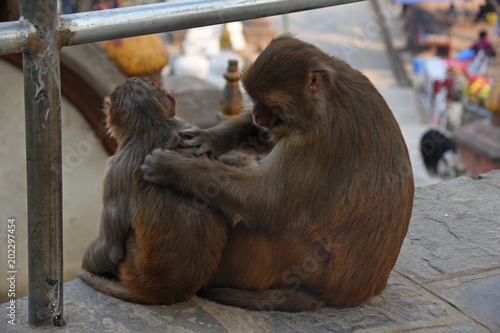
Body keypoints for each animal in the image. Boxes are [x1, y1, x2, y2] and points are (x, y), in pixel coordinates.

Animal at [77, 77, 233, 304]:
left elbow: (110, 249)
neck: (152, 126)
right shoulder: (194, 134)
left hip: (131, 267)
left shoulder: (116, 171)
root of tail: (163, 294)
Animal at [142, 35, 414, 312]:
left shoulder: (315, 140)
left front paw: (173, 169)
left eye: (271, 105)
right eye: (254, 100)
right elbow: (263, 141)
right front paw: (211, 139)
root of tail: (357, 293)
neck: (329, 98)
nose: (256, 115)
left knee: (271, 229)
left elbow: (269, 204)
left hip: (310, 265)